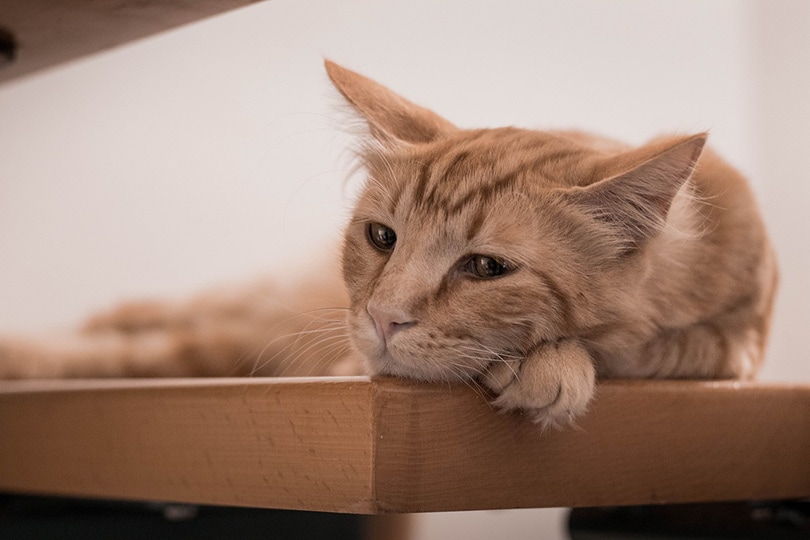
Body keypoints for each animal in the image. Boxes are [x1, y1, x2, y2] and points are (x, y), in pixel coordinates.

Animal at [0, 61, 772, 428]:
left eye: (485, 266)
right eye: (382, 236)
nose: (381, 317)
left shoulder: (736, 343)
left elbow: (659, 349)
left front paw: (554, 364)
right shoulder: (345, 361)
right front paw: (552, 367)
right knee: (144, 328)